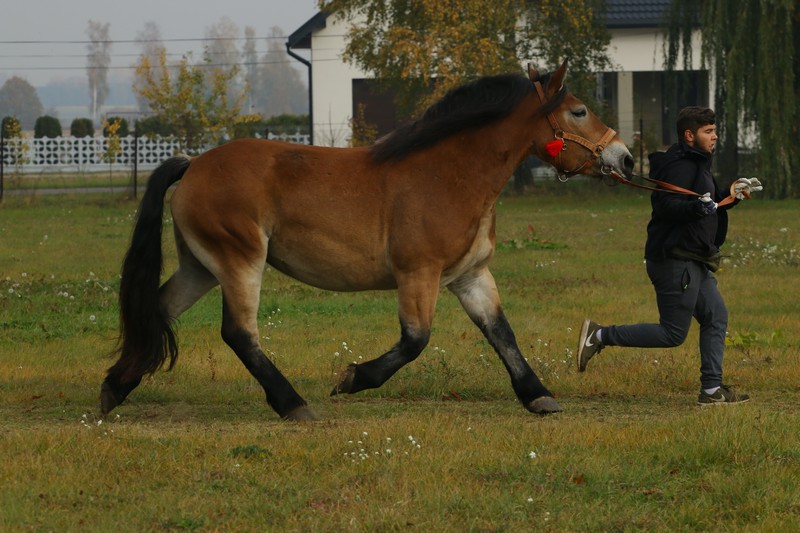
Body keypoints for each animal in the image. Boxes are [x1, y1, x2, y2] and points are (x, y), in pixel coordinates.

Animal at [100, 61, 634, 420]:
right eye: (579, 110)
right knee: (239, 333)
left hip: (200, 267)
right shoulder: (418, 274)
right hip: (239, 262)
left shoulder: (470, 277)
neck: (448, 175)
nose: (625, 158)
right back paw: (292, 404)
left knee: (158, 309)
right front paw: (353, 379)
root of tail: (193, 164)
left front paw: (537, 395)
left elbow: (502, 333)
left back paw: (115, 388)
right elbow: (415, 342)